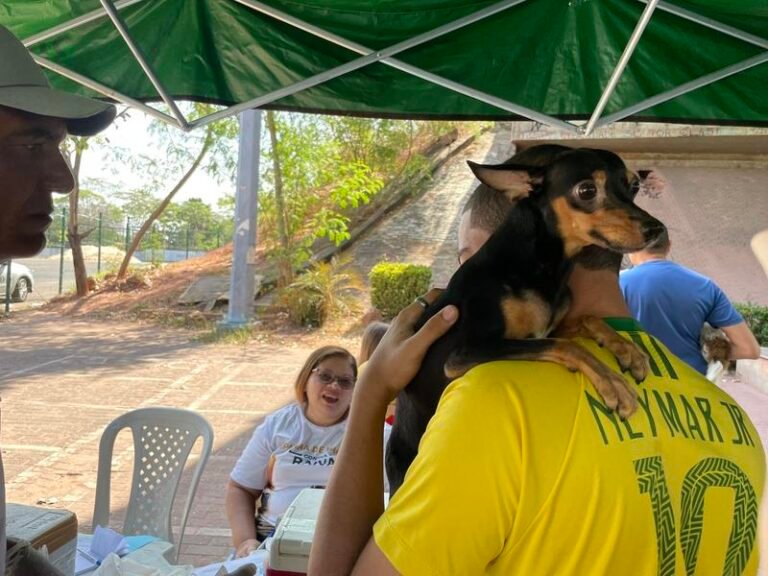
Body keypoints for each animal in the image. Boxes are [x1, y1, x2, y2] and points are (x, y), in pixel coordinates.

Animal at [384, 146, 664, 492]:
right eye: (587, 191)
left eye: (634, 185)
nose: (656, 229)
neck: (540, 262)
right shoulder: (465, 353)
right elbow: (567, 346)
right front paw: (610, 380)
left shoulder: (550, 326)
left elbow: (588, 319)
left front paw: (626, 348)